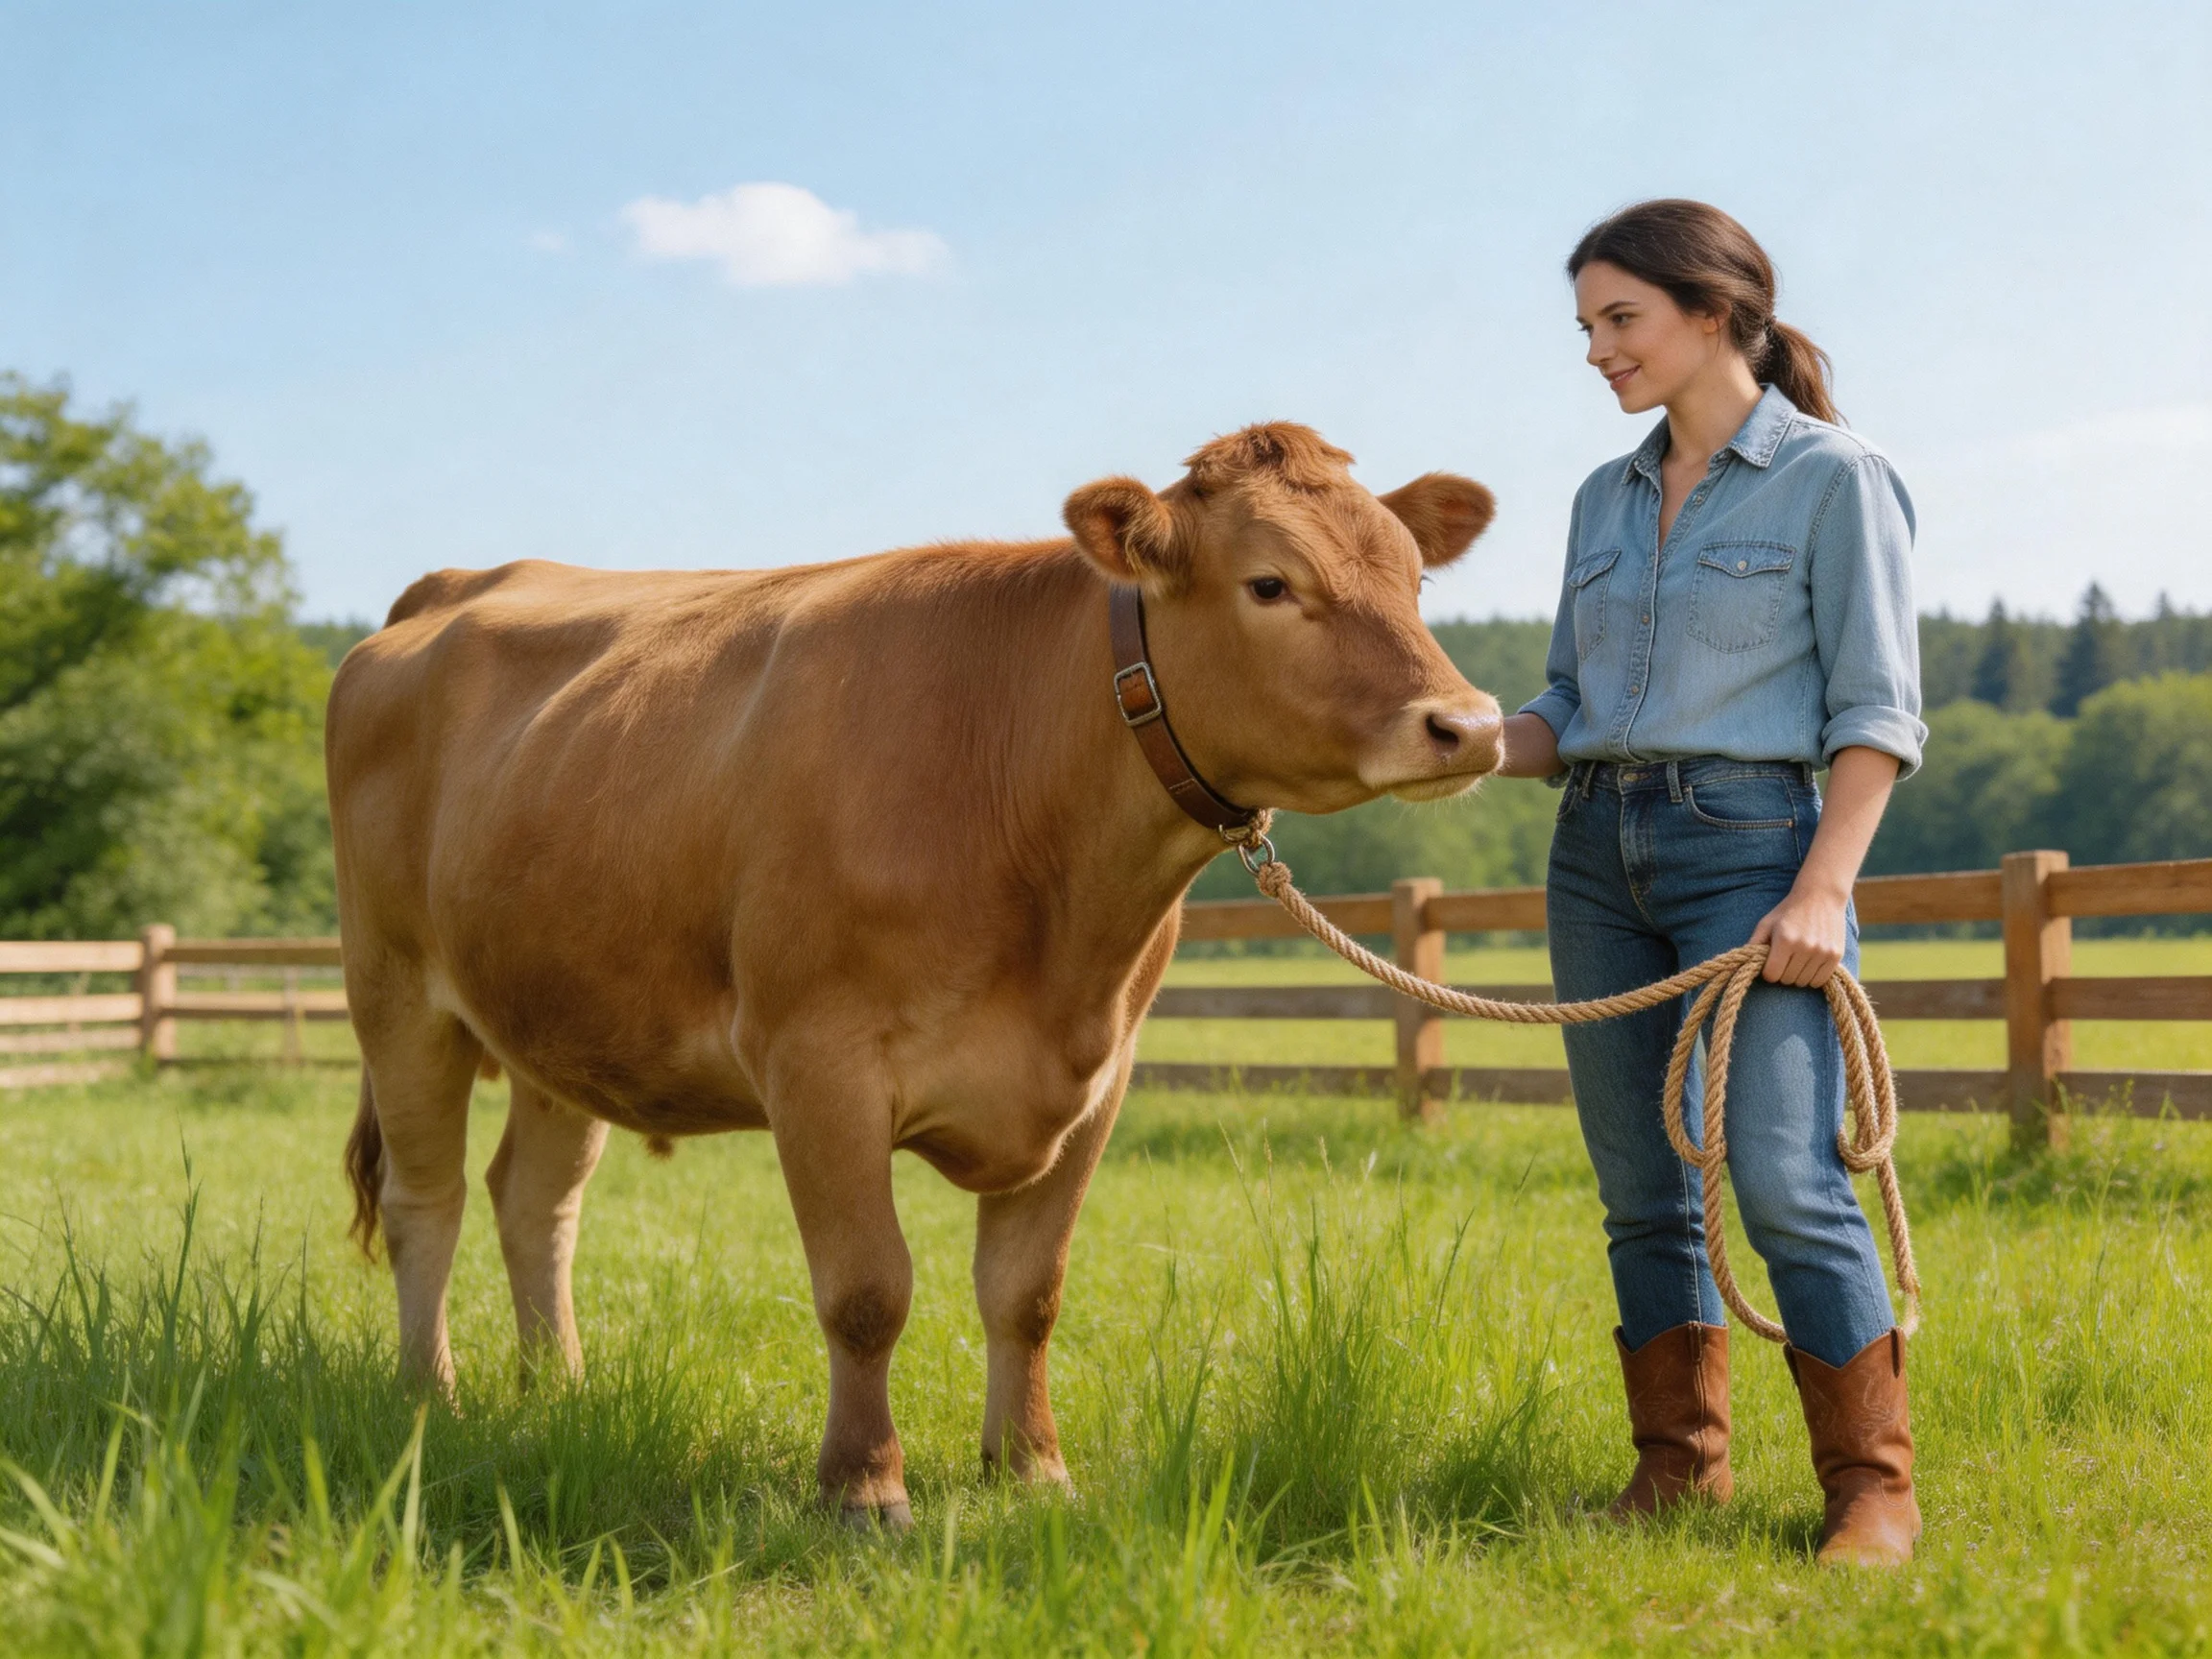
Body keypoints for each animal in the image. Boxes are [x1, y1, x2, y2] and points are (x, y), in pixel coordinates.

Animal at [327, 422, 1503, 1528]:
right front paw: (862, 1487)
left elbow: (1027, 1294)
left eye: (1412, 580)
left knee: (534, 1200)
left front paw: (1030, 1469)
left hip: (558, 1017)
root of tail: (456, 584)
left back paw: (558, 1392)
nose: (1471, 725)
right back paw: (431, 1397)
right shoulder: (818, 1063)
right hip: (397, 994)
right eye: (1269, 583)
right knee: (425, 1199)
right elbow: (866, 1291)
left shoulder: (1100, 1077)